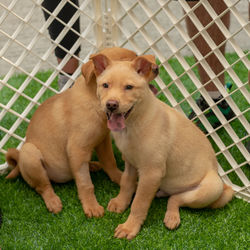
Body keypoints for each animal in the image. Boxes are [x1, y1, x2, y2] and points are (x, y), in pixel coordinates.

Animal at [4, 47, 139, 217]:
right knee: (43, 186)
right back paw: (53, 201)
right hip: (30, 154)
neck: (94, 99)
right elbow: (85, 184)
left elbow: (110, 162)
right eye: (128, 62)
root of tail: (19, 163)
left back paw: (92, 165)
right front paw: (91, 206)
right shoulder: (77, 148)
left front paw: (120, 178)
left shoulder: (103, 140)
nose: (155, 67)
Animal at [91, 52, 234, 238]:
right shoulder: (131, 163)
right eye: (105, 85)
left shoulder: (151, 172)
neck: (133, 124)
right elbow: (126, 184)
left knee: (176, 199)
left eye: (129, 87)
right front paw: (120, 203)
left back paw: (172, 217)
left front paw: (129, 227)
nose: (111, 105)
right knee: (171, 196)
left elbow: (139, 203)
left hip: (212, 187)